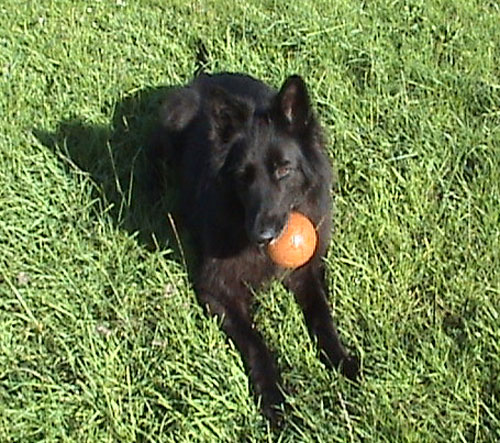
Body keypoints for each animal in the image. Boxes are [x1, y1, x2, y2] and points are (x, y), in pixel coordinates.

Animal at [154, 73, 358, 424]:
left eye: (283, 169)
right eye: (242, 177)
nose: (263, 235)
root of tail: (204, 76)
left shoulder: (308, 271)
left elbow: (322, 316)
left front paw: (341, 359)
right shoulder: (215, 289)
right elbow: (255, 341)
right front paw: (273, 398)